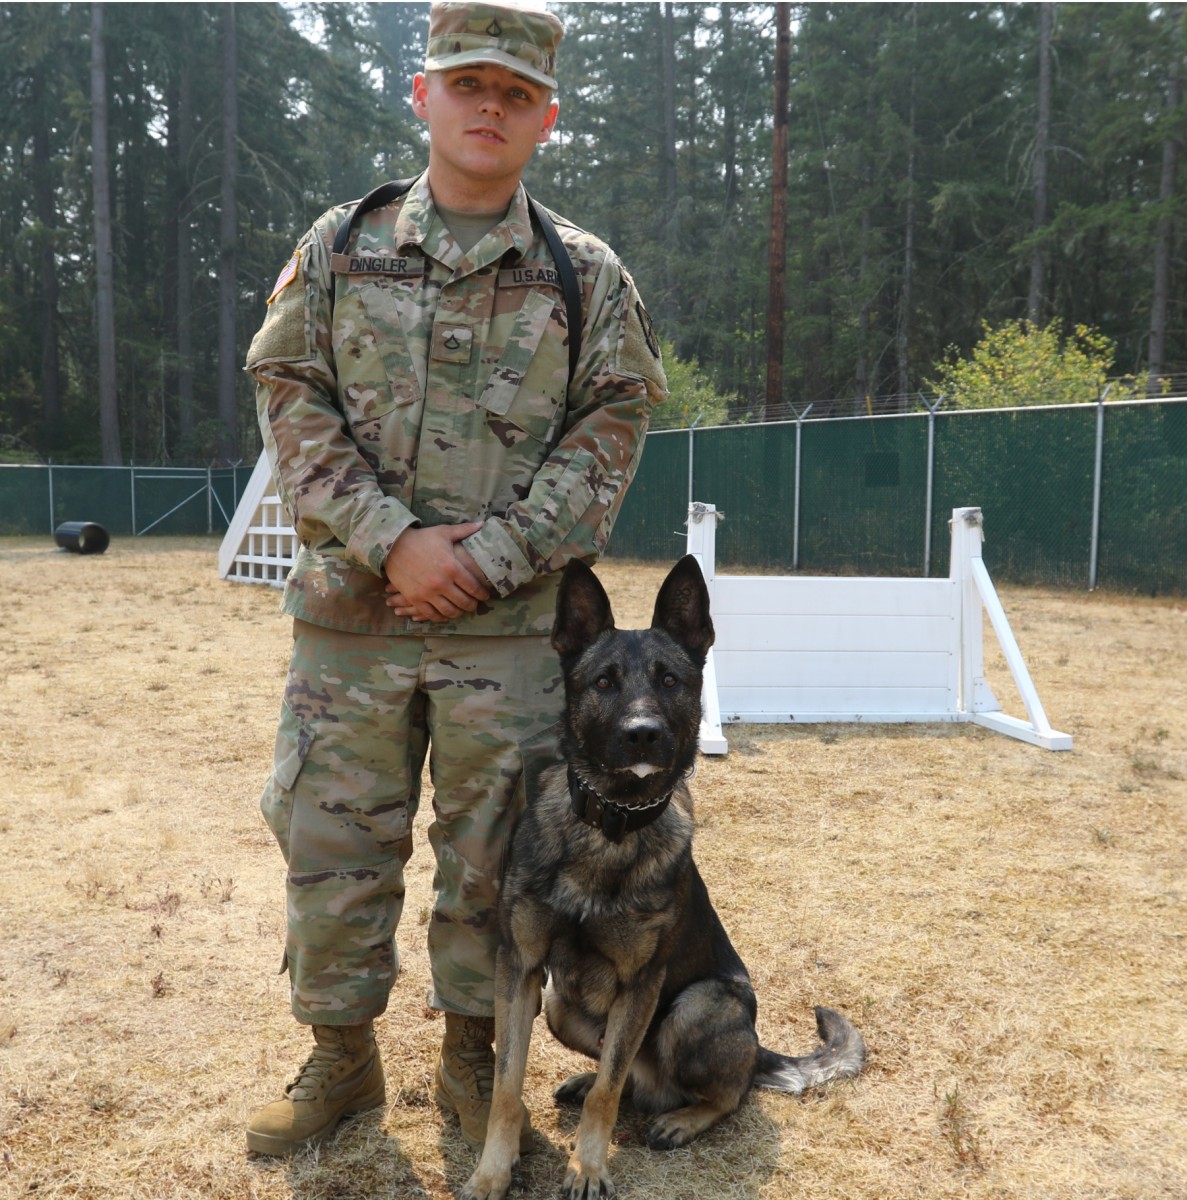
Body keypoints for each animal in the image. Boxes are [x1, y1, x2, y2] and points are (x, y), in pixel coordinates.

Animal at [460, 554, 859, 1200]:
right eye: (603, 682)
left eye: (671, 680)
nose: (643, 732)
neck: (611, 824)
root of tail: (759, 1049)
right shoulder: (519, 970)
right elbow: (507, 1086)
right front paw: (493, 1171)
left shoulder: (642, 984)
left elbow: (606, 1094)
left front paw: (587, 1169)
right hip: (560, 1003)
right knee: (628, 1076)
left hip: (700, 1006)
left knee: (719, 1092)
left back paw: (683, 1118)